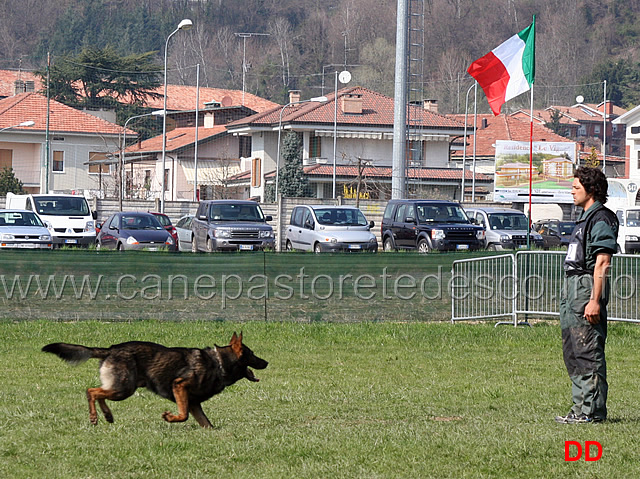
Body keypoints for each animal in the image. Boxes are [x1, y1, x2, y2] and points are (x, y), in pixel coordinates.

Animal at [42, 332, 268, 430]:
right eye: (252, 354)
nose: (266, 362)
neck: (218, 363)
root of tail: (111, 349)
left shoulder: (194, 402)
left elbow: (206, 424)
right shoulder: (180, 386)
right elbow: (183, 415)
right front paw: (169, 417)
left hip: (120, 387)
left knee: (99, 393)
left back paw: (107, 416)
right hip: (124, 389)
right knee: (91, 391)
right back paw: (94, 417)